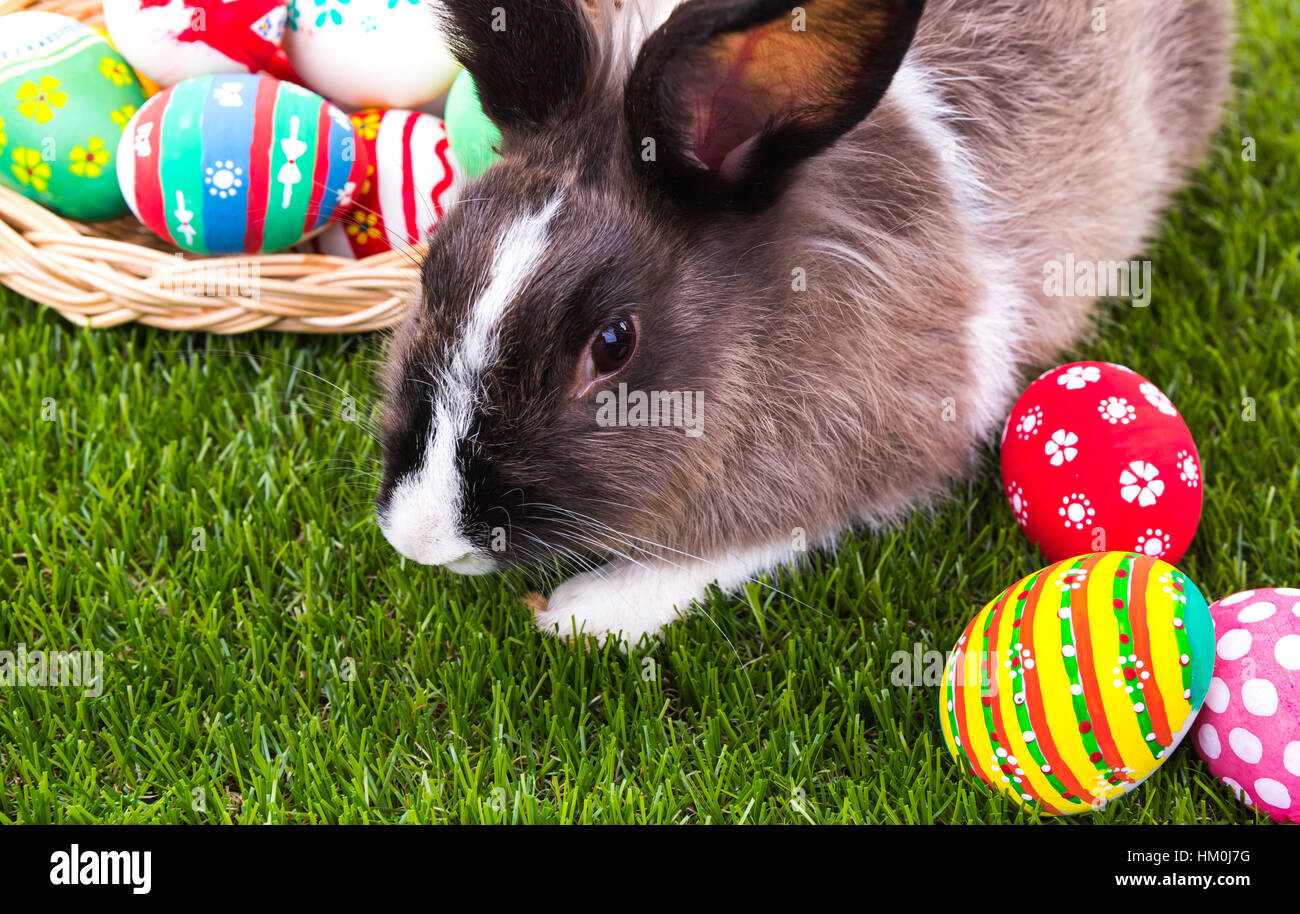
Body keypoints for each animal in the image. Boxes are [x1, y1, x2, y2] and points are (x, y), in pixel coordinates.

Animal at [374, 0, 1227, 647]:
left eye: (613, 344)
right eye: (433, 265)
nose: (422, 536)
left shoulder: (884, 442)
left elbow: (755, 535)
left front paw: (588, 613)